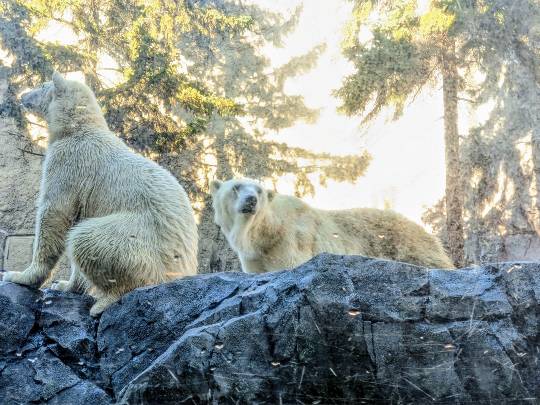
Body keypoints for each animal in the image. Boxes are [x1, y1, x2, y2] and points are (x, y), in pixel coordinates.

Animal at [3, 73, 197, 316]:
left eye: (41, 84)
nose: (22, 96)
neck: (78, 127)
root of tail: (185, 268)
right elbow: (76, 216)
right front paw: (65, 285)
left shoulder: (69, 162)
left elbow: (54, 215)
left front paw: (19, 276)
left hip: (142, 240)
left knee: (87, 238)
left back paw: (104, 302)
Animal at [209, 178, 454, 274]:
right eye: (236, 187)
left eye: (258, 190)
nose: (251, 200)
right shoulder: (255, 257)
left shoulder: (289, 242)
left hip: (408, 247)